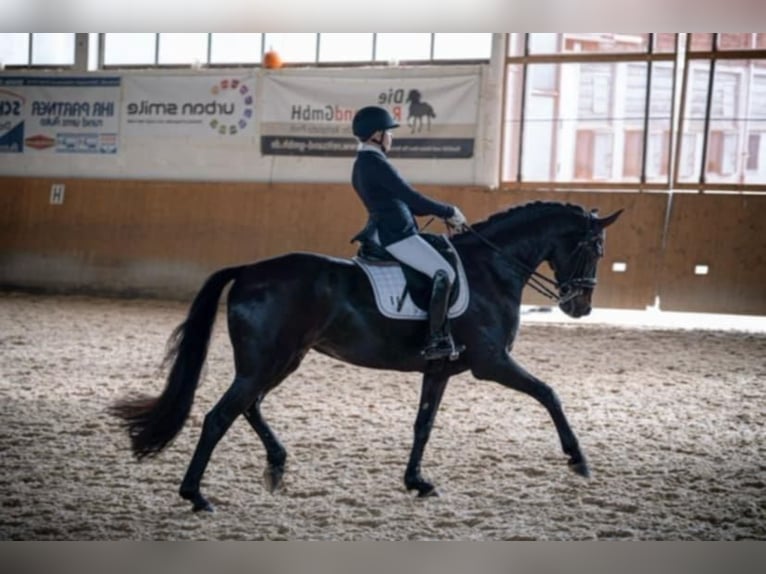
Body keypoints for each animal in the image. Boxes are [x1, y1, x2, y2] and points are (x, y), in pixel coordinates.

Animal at [110, 201, 622, 512]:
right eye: (595, 247)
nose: (581, 307)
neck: (491, 269)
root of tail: (250, 270)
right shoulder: (491, 363)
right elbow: (549, 393)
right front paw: (578, 459)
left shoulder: (441, 369)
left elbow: (423, 424)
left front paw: (417, 482)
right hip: (268, 361)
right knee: (221, 416)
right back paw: (197, 496)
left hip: (281, 360)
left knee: (248, 406)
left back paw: (276, 465)